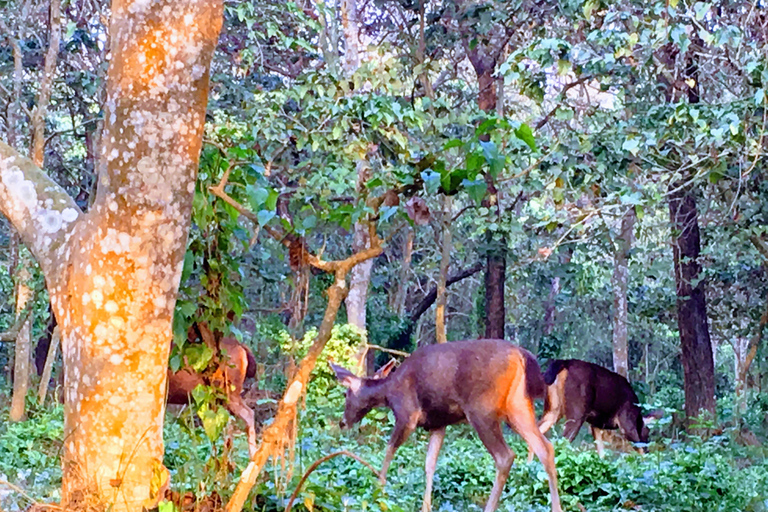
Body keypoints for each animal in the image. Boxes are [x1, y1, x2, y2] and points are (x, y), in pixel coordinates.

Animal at [332, 340, 564, 512]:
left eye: (346, 394)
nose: (342, 422)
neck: (389, 393)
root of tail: (522, 357)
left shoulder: (407, 414)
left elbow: (389, 450)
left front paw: (378, 491)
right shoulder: (438, 424)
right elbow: (430, 463)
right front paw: (425, 506)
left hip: (482, 409)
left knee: (505, 456)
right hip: (517, 406)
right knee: (545, 448)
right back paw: (556, 508)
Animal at [528, 356, 660, 460]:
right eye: (647, 432)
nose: (649, 449)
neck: (638, 415)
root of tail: (564, 363)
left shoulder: (596, 424)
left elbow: (601, 453)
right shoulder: (626, 420)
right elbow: (639, 448)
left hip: (553, 409)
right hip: (577, 412)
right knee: (561, 442)